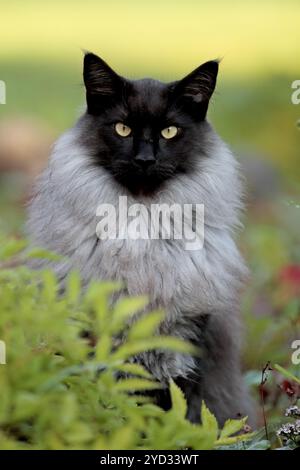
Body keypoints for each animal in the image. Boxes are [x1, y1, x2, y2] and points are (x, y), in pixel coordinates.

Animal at [27, 52, 254, 426]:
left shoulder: (187, 337)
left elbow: (182, 410)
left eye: (170, 131)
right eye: (123, 128)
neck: (143, 228)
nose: (145, 159)